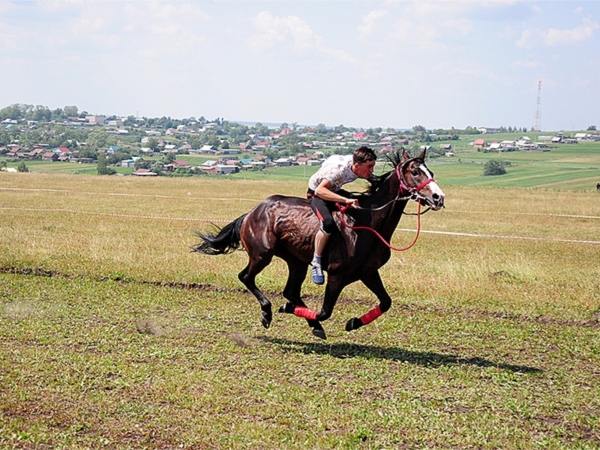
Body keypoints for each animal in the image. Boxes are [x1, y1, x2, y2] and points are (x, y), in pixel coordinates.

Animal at [192, 149, 446, 340]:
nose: (438, 198)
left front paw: (353, 322)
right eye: (415, 171)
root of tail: (251, 213)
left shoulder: (368, 272)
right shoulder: (336, 274)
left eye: (431, 172)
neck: (367, 222)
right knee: (246, 277)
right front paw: (288, 310)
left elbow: (386, 302)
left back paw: (308, 322)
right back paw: (268, 312)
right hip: (262, 255)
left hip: (296, 261)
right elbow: (325, 311)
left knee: (290, 291)